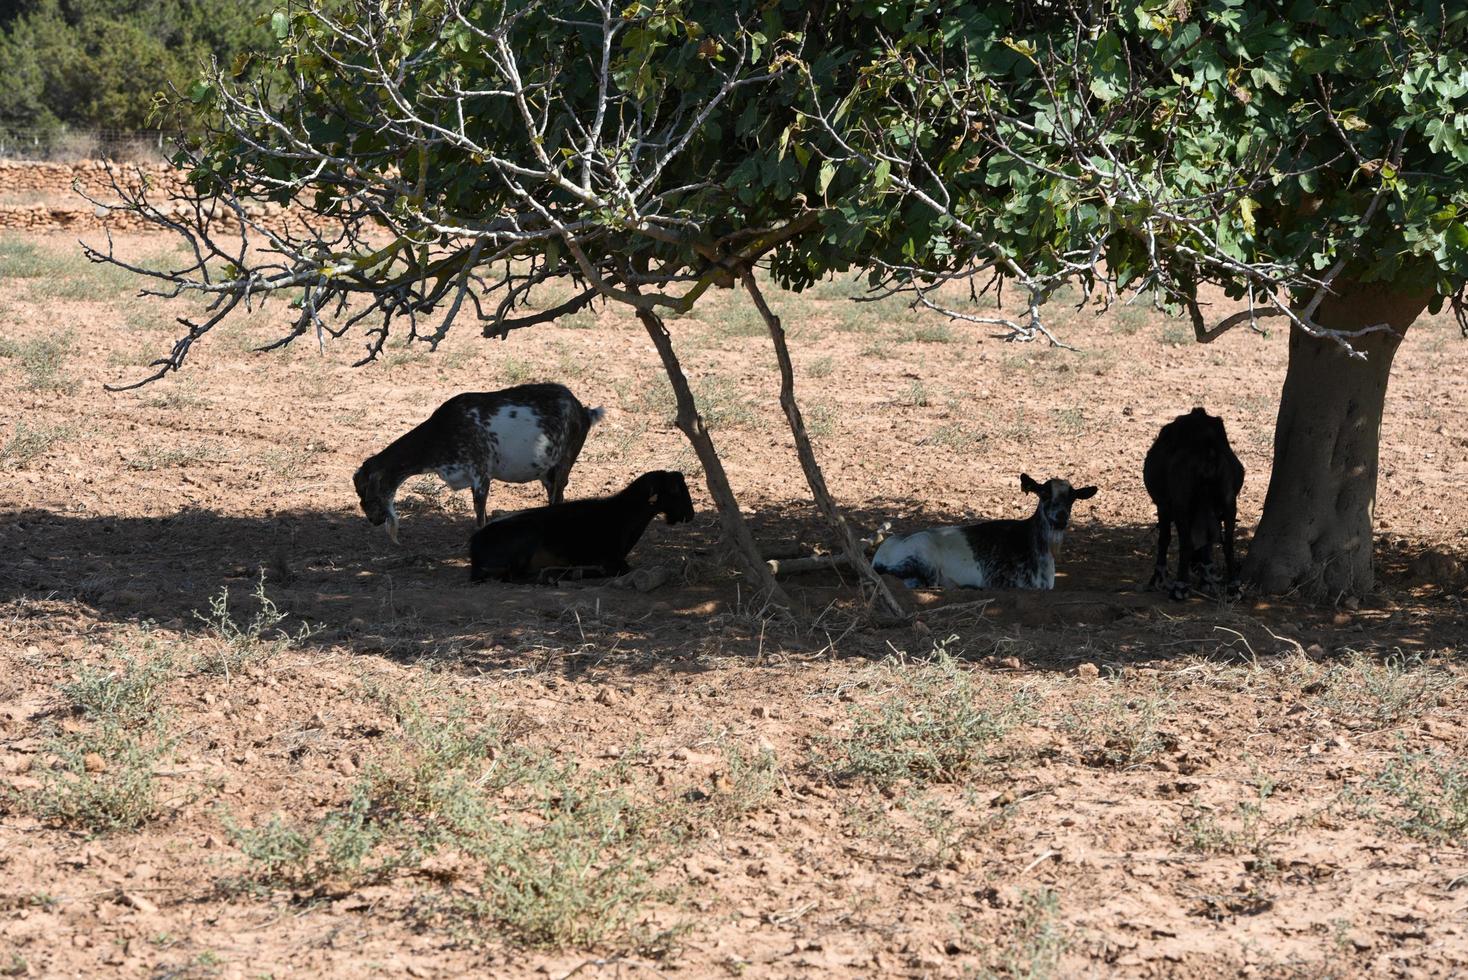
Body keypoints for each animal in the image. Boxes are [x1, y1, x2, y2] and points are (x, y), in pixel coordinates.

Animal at [352, 381, 598, 542]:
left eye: (365, 490)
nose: (372, 519)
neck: (439, 434)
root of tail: (584, 411)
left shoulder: (480, 474)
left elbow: (479, 515)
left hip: (564, 462)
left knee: (558, 496)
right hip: (548, 471)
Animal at [472, 469, 695, 580]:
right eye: (675, 490)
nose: (690, 514)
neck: (624, 512)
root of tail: (475, 546)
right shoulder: (611, 559)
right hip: (528, 534)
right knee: (516, 574)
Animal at [1139, 404, 1244, 598]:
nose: (1195, 567)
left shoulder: (1163, 506)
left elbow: (1164, 539)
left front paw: (1158, 578)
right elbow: (1208, 544)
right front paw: (1206, 579)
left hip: (1182, 504)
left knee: (1186, 543)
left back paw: (1180, 586)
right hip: (1229, 501)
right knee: (1229, 543)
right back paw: (1234, 585)